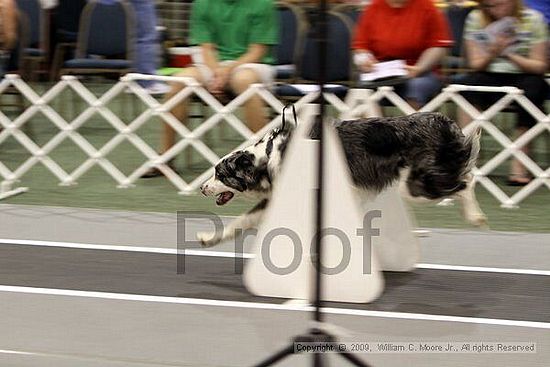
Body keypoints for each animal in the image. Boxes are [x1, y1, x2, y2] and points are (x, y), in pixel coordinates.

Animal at [198, 113, 488, 247]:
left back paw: (476, 216)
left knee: (466, 182)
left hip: (415, 186)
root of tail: (444, 122)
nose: (201, 188)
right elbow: (240, 222)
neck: (268, 158)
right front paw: (209, 238)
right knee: (466, 177)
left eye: (220, 173)